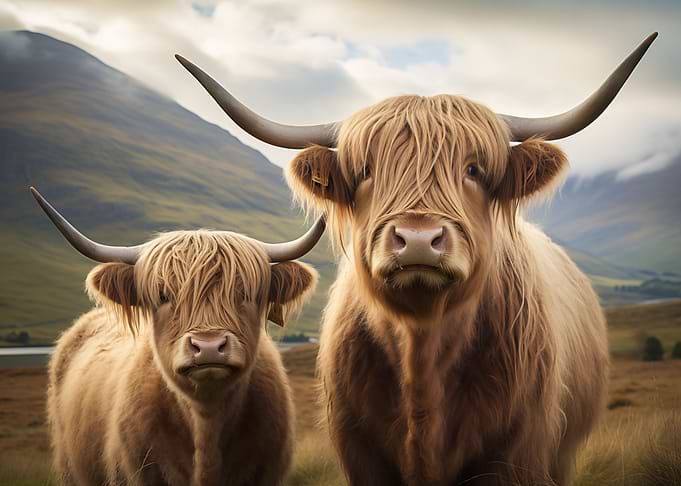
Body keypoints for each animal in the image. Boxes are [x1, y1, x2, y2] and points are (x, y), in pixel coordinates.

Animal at [176, 33, 657, 485]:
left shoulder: (519, 450)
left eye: (473, 170)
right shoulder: (361, 452)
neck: (422, 349)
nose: (419, 240)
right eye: (366, 171)